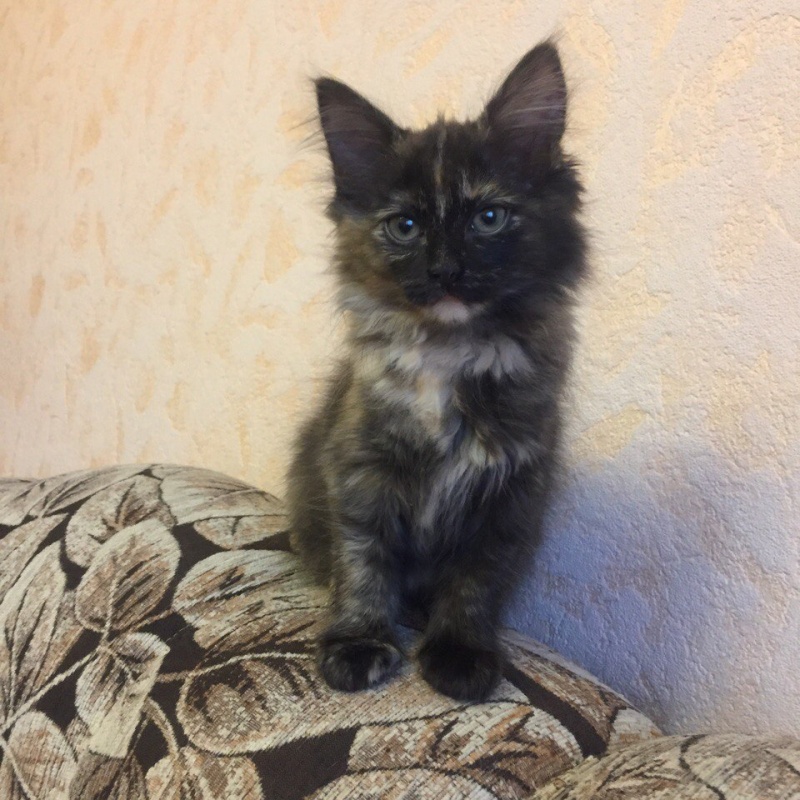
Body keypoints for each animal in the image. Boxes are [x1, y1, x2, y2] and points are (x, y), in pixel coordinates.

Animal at [287, 41, 587, 702]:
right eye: (405, 227)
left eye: (489, 218)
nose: (446, 269)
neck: (449, 353)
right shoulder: (360, 470)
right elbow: (362, 562)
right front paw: (358, 642)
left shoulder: (510, 490)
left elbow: (476, 580)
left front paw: (460, 652)